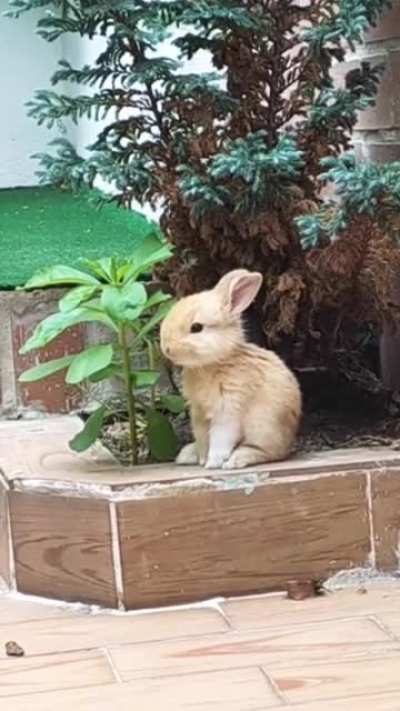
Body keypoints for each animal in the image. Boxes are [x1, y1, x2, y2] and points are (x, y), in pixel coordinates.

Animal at [160, 269, 302, 469]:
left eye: (196, 327)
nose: (167, 348)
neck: (212, 363)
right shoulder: (199, 414)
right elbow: (203, 439)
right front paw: (202, 459)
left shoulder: (228, 410)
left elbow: (220, 439)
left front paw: (212, 463)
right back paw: (187, 455)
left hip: (264, 427)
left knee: (270, 452)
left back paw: (236, 459)